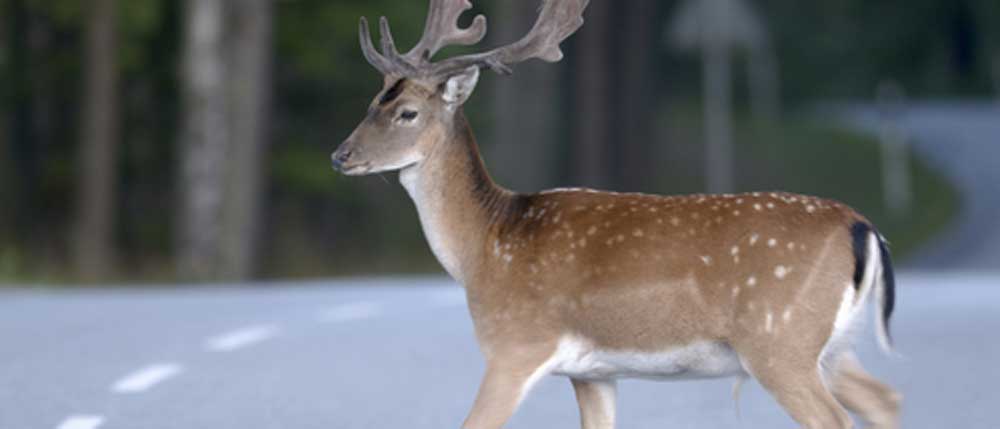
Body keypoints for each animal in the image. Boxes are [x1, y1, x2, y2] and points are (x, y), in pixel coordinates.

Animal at [332, 1, 904, 426]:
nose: (341, 155)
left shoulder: (515, 344)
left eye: (408, 113)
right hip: (829, 346)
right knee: (885, 397)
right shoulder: (593, 372)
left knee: (838, 417)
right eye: (371, 102)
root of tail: (862, 227)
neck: (486, 245)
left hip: (778, 340)